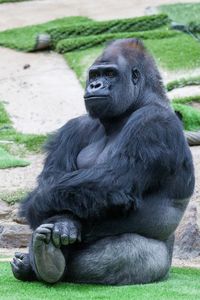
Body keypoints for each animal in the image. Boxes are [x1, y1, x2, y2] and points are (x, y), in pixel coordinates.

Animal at [10, 38, 194, 284]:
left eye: (110, 74)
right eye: (95, 74)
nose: (95, 85)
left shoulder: (154, 123)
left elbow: (113, 181)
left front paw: (37, 204)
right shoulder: (75, 127)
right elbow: (55, 176)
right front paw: (63, 221)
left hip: (159, 265)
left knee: (126, 253)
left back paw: (48, 262)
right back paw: (37, 261)